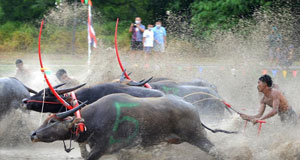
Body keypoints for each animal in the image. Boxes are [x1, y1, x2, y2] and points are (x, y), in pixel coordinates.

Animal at [31, 93, 223, 159]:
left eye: (52, 121)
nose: (33, 134)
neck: (92, 121)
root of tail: (192, 107)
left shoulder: (101, 149)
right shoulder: (121, 151)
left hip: (197, 136)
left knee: (215, 151)